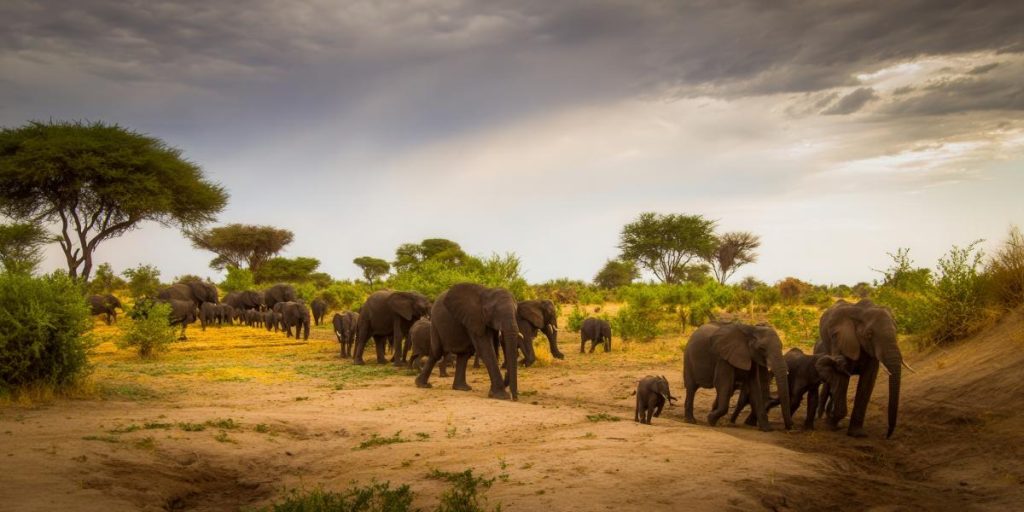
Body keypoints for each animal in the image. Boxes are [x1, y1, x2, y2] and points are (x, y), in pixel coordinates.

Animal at [817, 299, 904, 438]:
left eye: (896, 331)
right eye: (869, 334)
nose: (887, 435)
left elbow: (868, 379)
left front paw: (857, 434)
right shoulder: (841, 339)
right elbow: (841, 374)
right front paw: (832, 424)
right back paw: (824, 419)